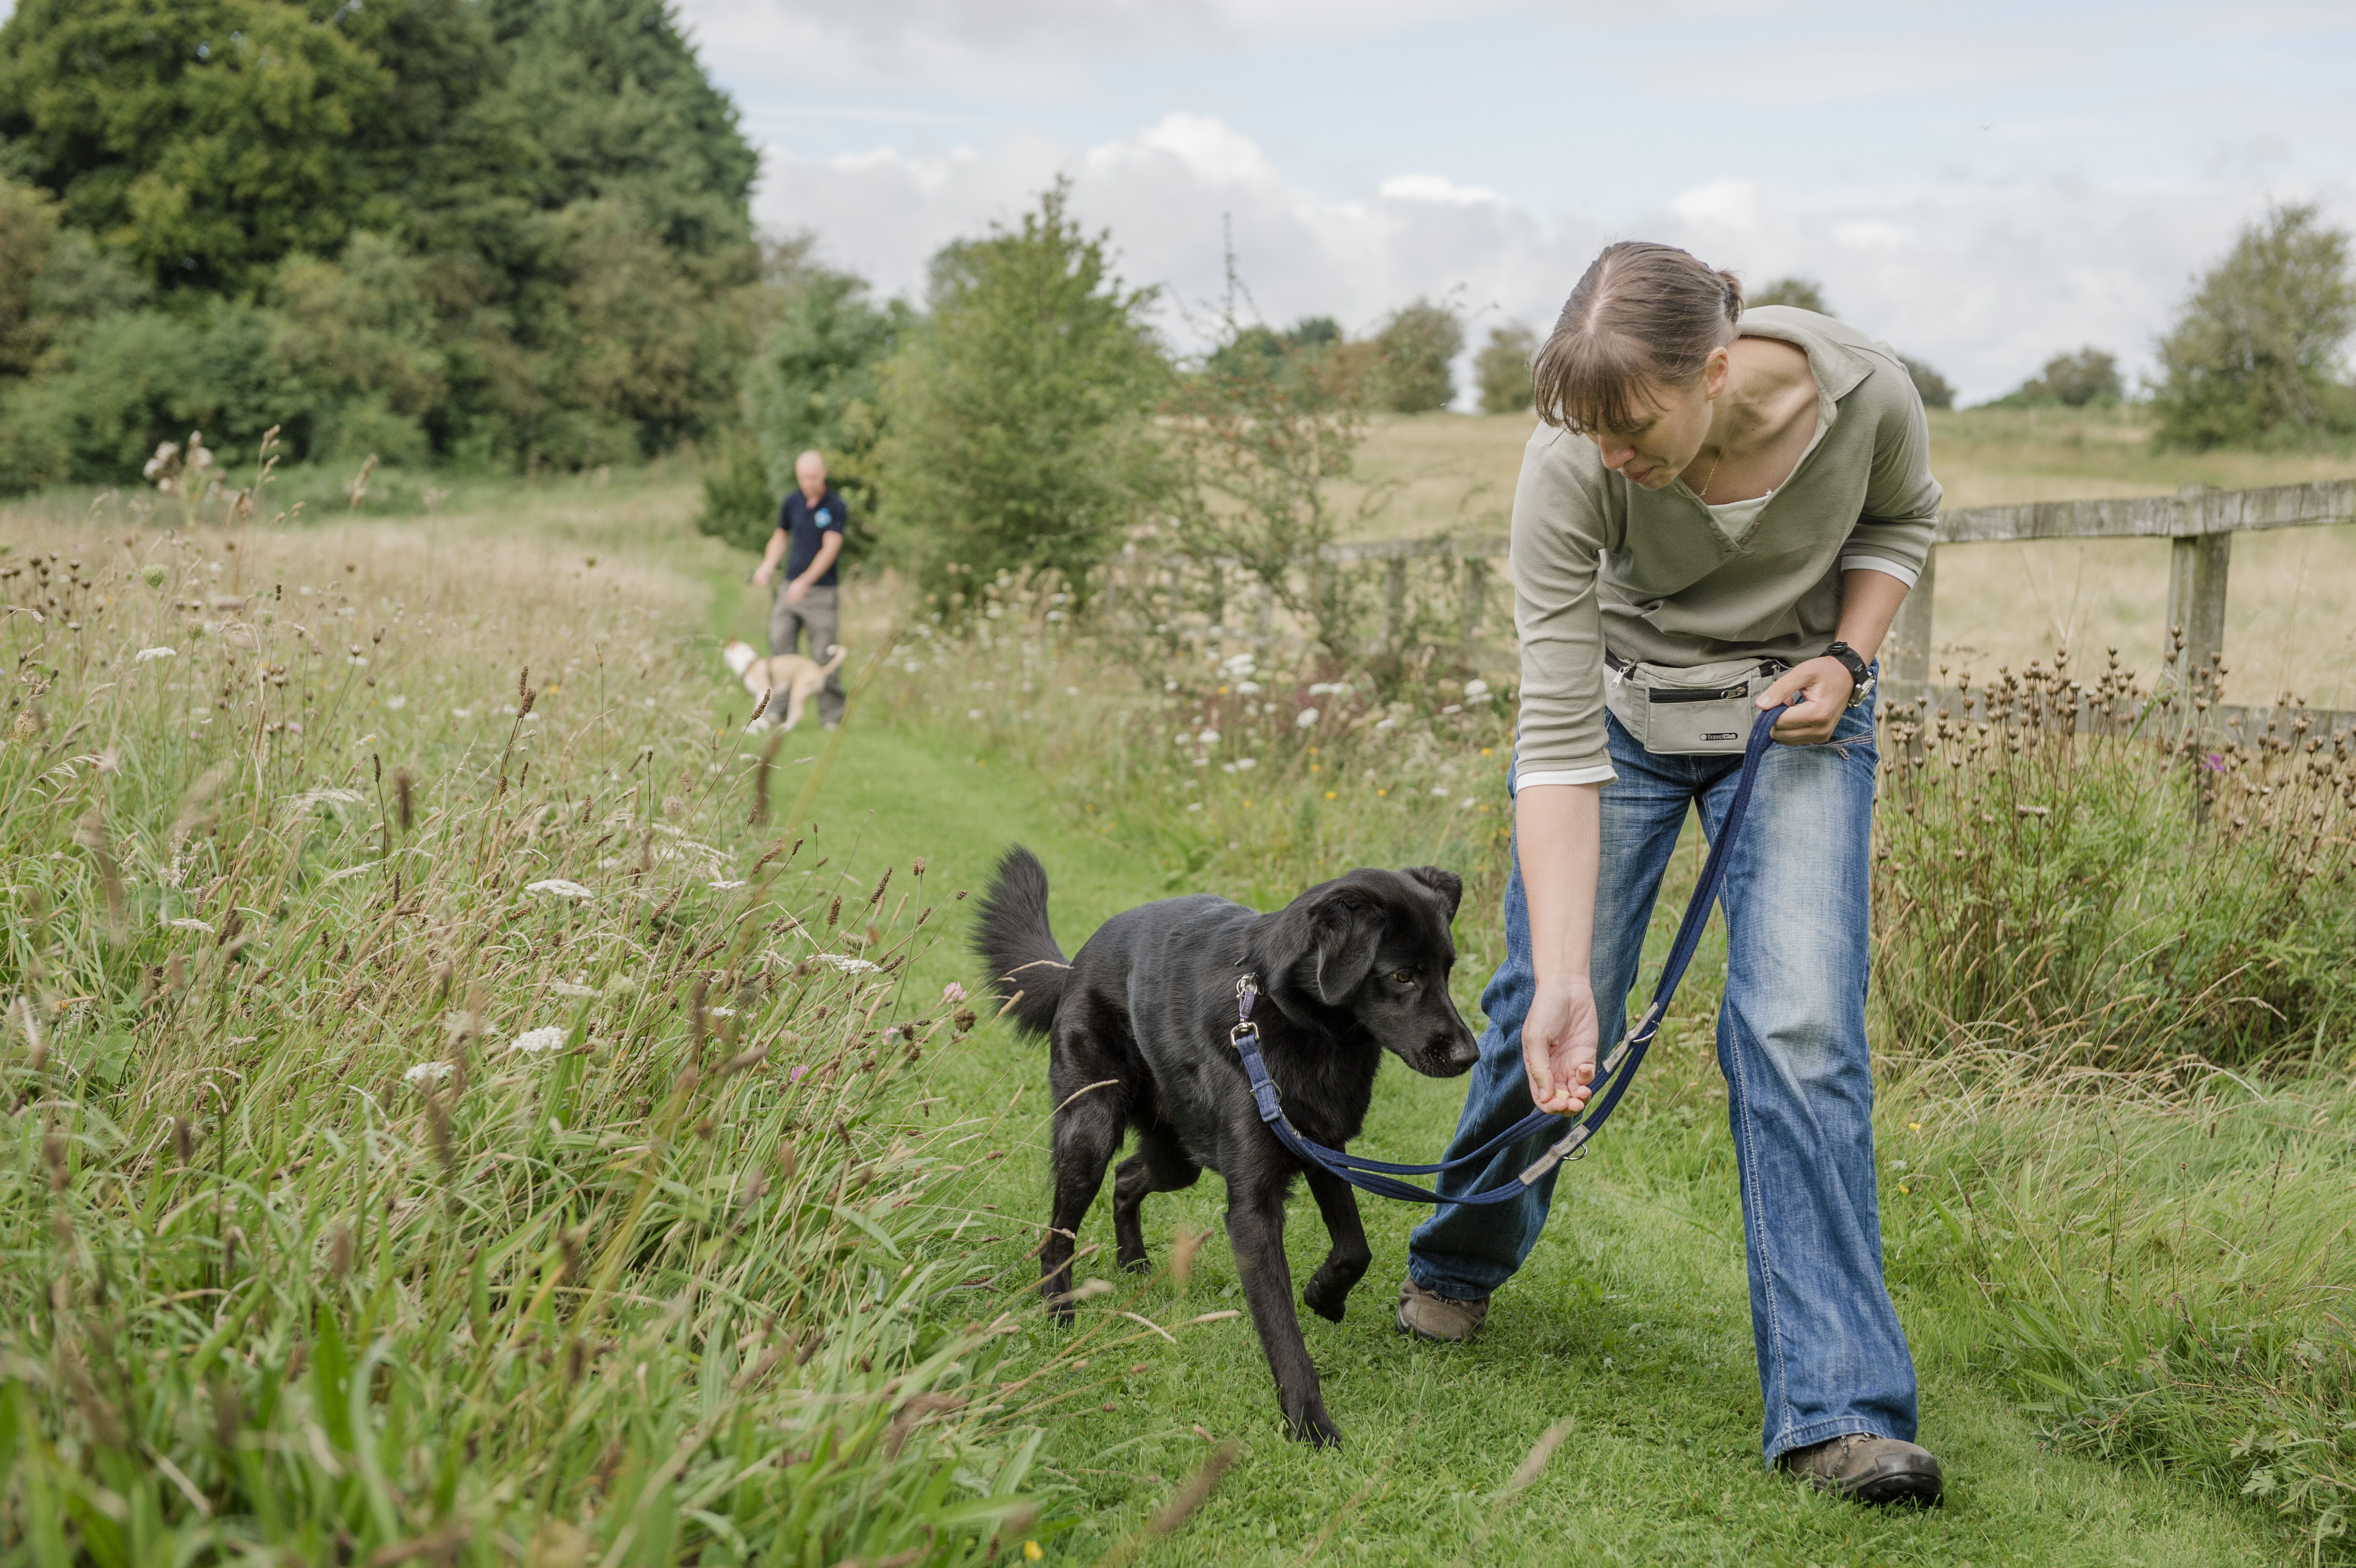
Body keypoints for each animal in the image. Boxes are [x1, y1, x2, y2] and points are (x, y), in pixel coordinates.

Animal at [735, 635, 857, 734]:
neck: (749, 665)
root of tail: (820, 670)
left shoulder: (762, 692)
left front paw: (757, 727)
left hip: (797, 693)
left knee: (797, 714)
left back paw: (784, 728)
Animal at [975, 843, 1470, 1441]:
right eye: (1401, 975)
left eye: (1446, 971)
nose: (1469, 1055)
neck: (1287, 1015)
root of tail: (1074, 966)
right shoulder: (1252, 1208)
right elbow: (1281, 1327)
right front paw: (1308, 1423)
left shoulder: (1322, 1149)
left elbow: (1355, 1247)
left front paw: (1323, 1295)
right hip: (1088, 1131)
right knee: (1059, 1233)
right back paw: (1058, 1313)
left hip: (1176, 1157)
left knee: (1127, 1178)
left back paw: (1133, 1260)